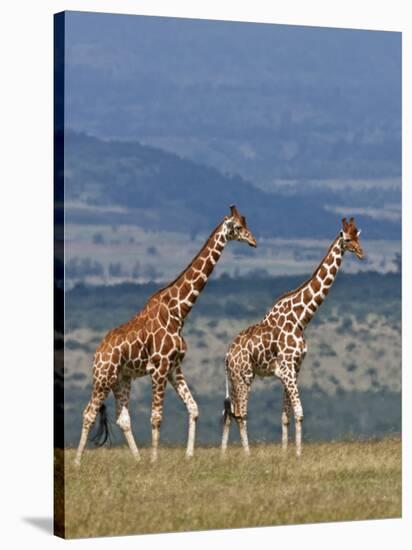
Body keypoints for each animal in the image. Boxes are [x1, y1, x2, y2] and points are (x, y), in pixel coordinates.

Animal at [72, 205, 256, 468]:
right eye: (239, 227)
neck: (179, 312)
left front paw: (188, 455)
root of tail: (97, 353)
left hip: (122, 379)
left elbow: (193, 408)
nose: (253, 241)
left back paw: (137, 459)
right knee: (88, 412)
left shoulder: (174, 368)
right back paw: (78, 461)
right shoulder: (159, 368)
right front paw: (155, 460)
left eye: (246, 223)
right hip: (103, 378)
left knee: (122, 418)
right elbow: (156, 417)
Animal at [222, 218, 364, 460]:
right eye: (347, 238)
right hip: (244, 376)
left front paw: (286, 452)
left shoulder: (294, 368)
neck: (300, 319)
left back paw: (223, 452)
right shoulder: (287, 368)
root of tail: (226, 356)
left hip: (235, 378)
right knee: (240, 413)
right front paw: (297, 454)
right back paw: (247, 454)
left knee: (229, 413)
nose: (361, 252)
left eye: (358, 236)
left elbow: (285, 415)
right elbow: (299, 412)